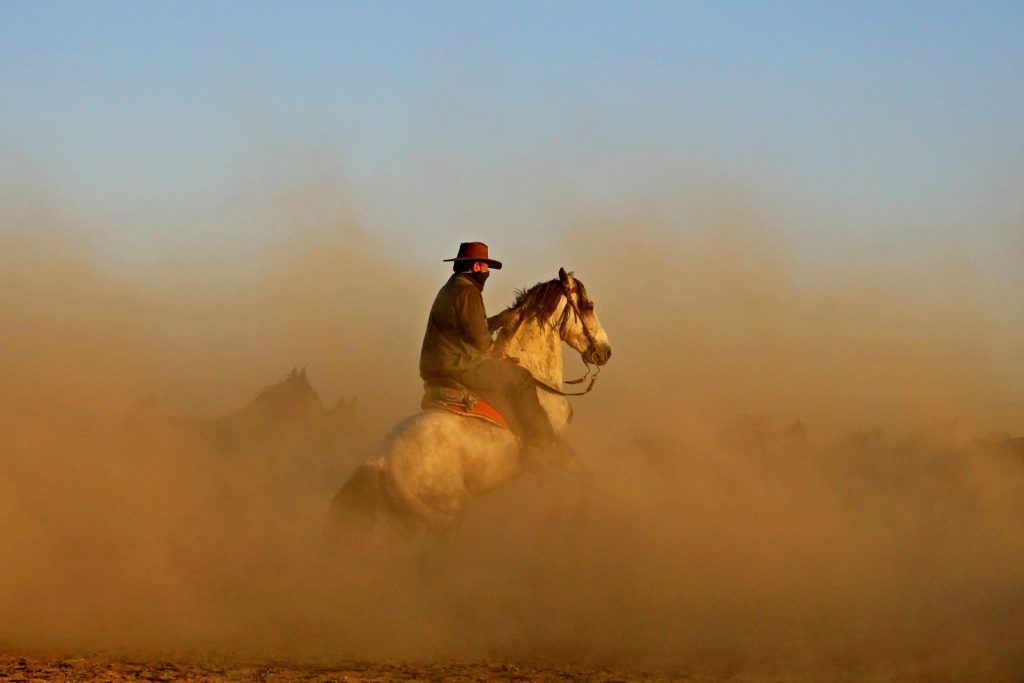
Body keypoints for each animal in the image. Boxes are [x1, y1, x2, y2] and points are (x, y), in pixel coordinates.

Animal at [331, 266, 610, 540]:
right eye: (589, 305)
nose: (606, 351)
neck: (537, 376)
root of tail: (384, 463)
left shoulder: (560, 447)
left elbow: (587, 478)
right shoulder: (549, 454)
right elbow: (574, 485)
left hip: (406, 524)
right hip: (446, 518)